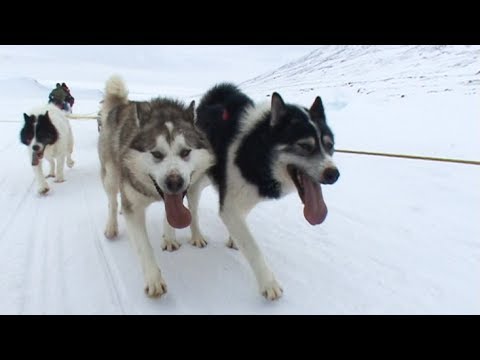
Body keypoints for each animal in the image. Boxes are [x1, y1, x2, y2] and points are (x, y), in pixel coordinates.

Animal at [97, 76, 214, 298]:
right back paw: (111, 226)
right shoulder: (134, 208)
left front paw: (169, 238)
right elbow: (144, 247)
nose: (174, 182)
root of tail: (122, 104)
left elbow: (173, 216)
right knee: (112, 201)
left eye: (186, 152)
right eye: (156, 154)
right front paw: (154, 279)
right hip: (111, 176)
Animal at [196, 83, 342, 300]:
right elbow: (252, 247)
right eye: (305, 146)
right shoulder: (229, 204)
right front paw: (268, 283)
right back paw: (194, 234)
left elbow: (241, 225)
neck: (258, 151)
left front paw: (233, 238)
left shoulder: (244, 199)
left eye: (329, 145)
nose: (334, 174)